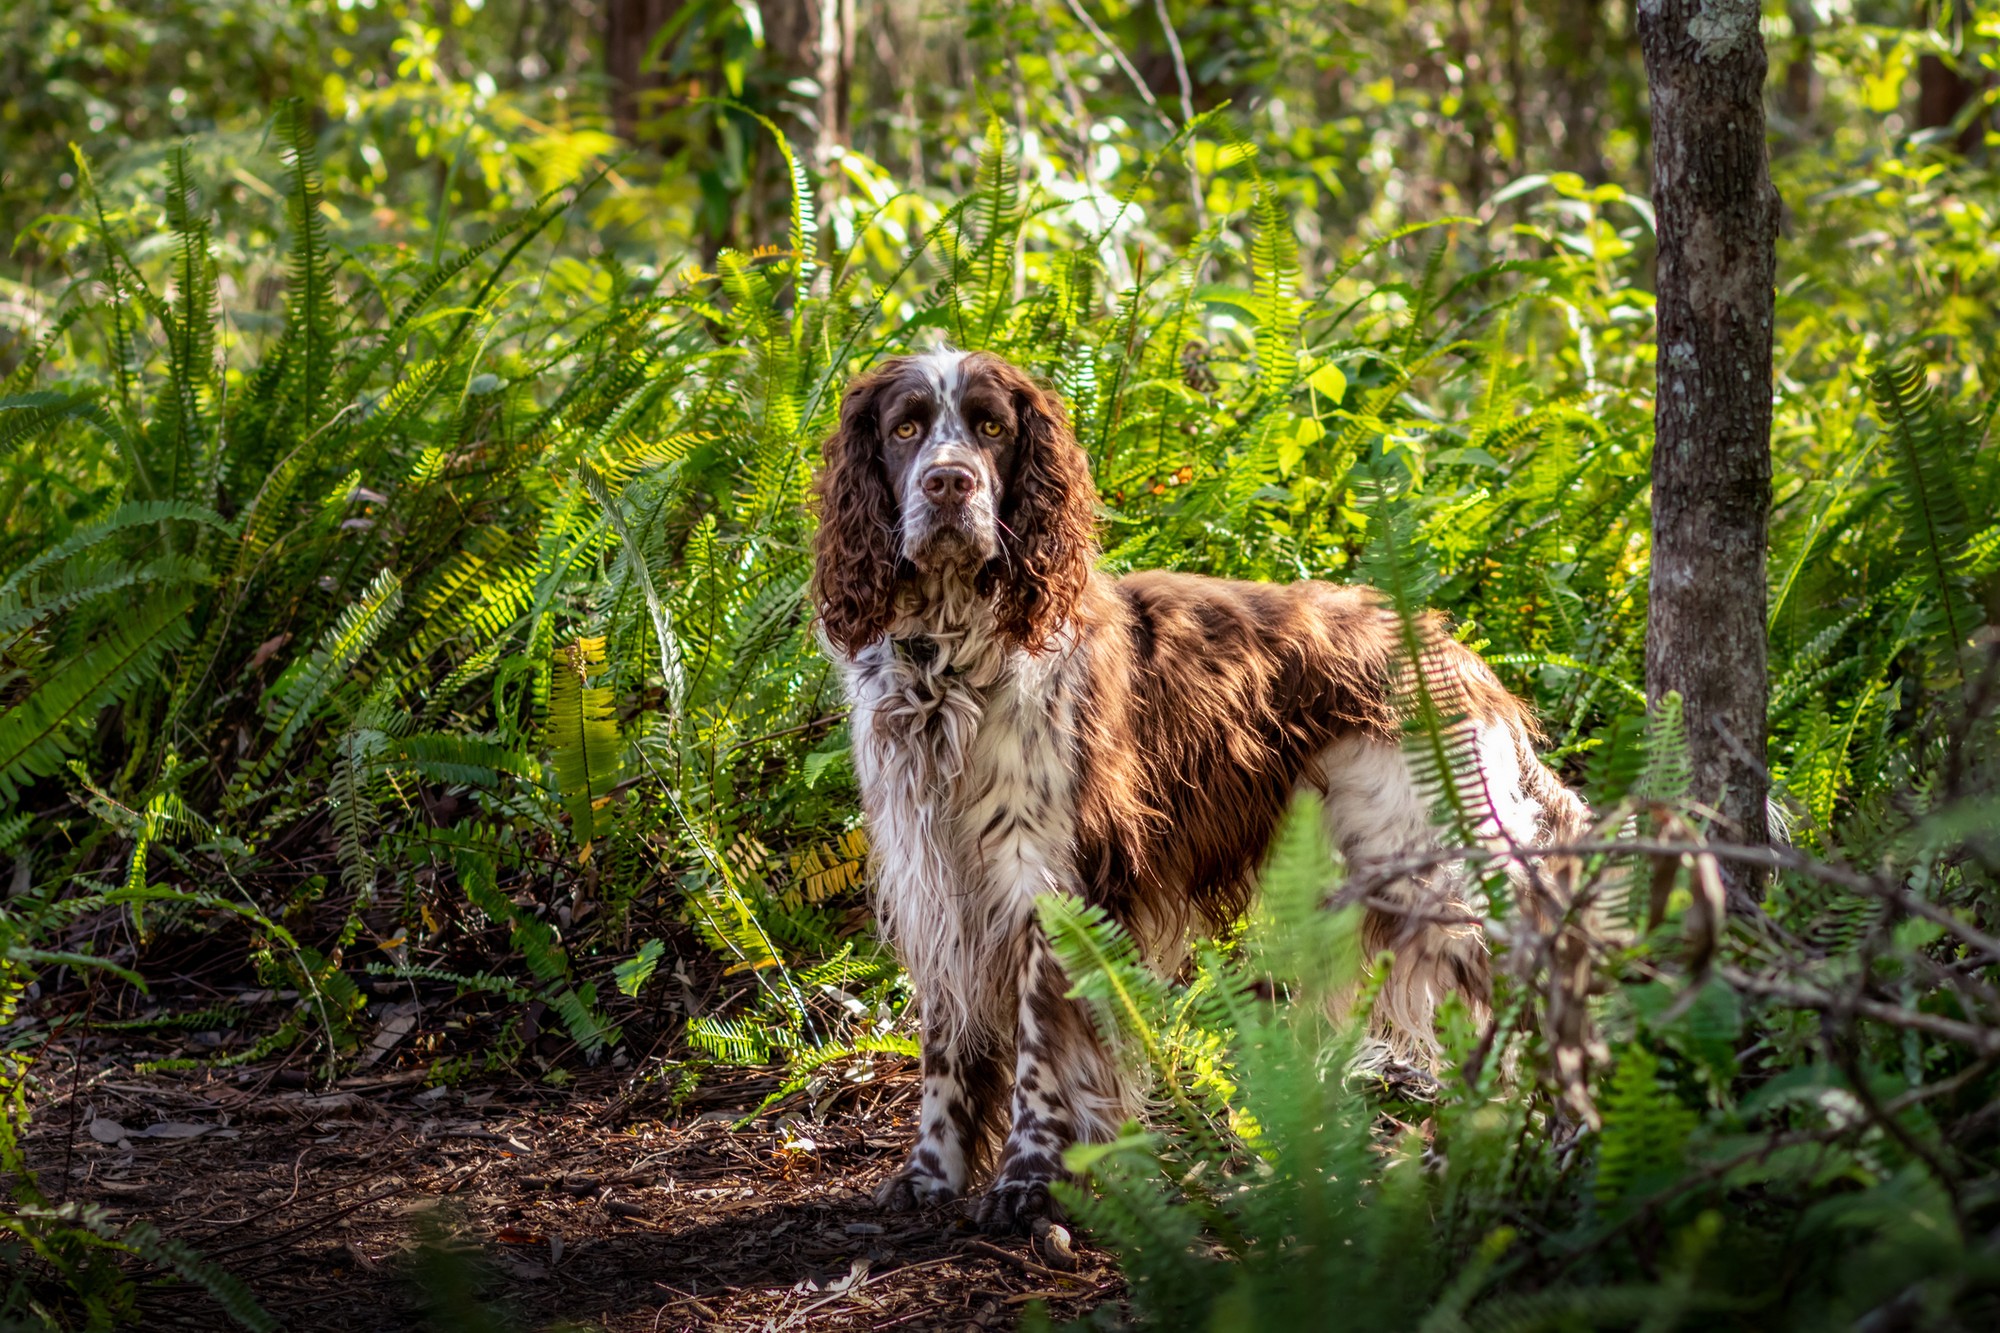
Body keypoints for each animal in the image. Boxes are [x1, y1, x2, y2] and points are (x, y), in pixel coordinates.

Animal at [804, 348, 1584, 1232]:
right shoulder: (934, 873)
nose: (948, 483)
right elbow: (948, 1043)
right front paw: (930, 1173)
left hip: (1435, 865)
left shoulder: (1050, 879)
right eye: (905, 428)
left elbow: (1042, 1046)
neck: (950, 658)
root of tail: (1457, 656)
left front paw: (1029, 1181)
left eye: (991, 427)